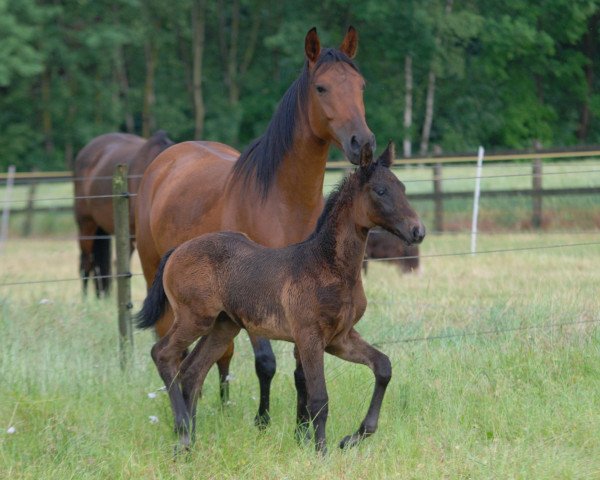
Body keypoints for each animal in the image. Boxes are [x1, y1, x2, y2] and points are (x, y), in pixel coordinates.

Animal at [136, 27, 376, 424]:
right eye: (321, 87)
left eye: (361, 85)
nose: (364, 143)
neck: (282, 201)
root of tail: (167, 158)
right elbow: (266, 362)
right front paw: (263, 422)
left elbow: (300, 367)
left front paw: (301, 426)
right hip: (156, 274)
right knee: (173, 349)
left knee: (218, 353)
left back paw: (213, 404)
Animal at [137, 143, 426, 454]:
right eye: (380, 191)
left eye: (402, 187)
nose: (417, 231)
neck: (327, 266)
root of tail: (177, 251)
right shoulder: (310, 337)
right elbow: (318, 398)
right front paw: (320, 452)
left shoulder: (341, 338)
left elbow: (382, 367)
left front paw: (352, 437)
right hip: (195, 318)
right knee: (163, 354)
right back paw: (182, 431)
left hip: (223, 326)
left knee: (192, 371)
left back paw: (189, 442)